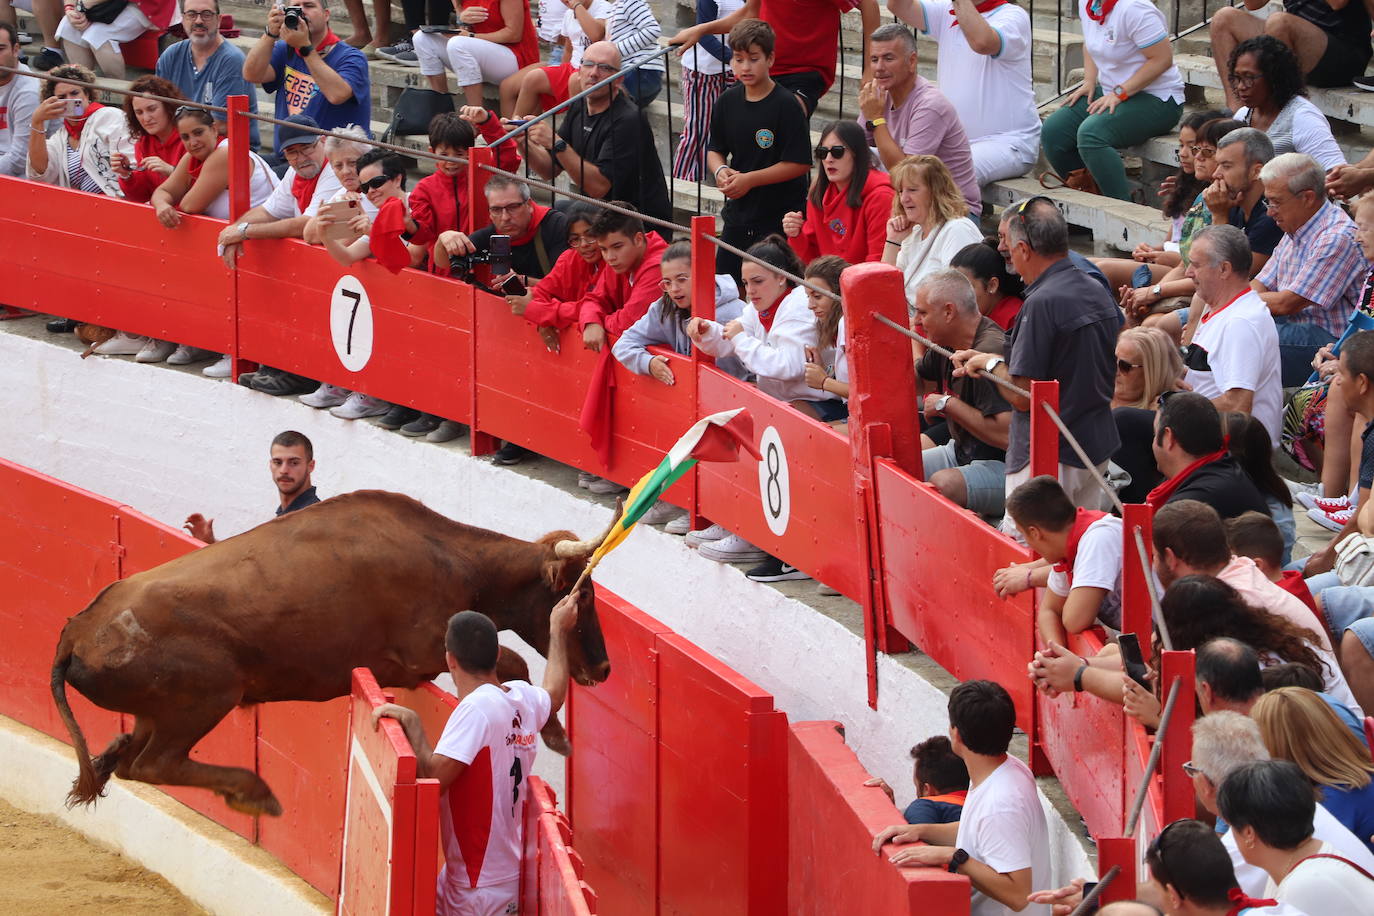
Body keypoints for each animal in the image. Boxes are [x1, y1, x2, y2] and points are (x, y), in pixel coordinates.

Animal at [49, 494, 612, 818]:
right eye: (582, 596)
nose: (604, 668)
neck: (450, 555)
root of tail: (76, 632)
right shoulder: (422, 650)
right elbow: (514, 663)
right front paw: (556, 733)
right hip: (206, 698)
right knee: (154, 763)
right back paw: (255, 792)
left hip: (159, 712)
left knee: (127, 756)